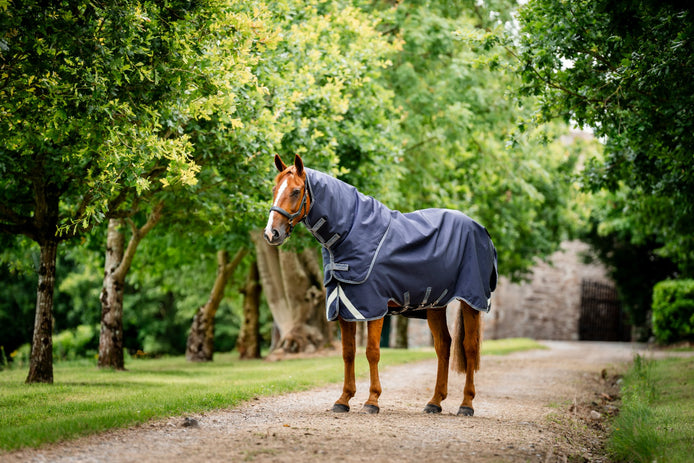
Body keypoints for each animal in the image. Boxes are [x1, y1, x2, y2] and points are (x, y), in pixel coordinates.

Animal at [264, 154, 497, 416]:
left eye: (295, 191)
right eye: (274, 189)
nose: (271, 233)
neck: (350, 235)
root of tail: (481, 230)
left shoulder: (373, 306)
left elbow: (372, 351)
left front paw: (372, 401)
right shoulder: (344, 305)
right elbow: (348, 352)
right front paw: (343, 399)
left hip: (471, 301)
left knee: (469, 347)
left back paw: (466, 404)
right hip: (436, 306)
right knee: (443, 346)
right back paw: (434, 402)